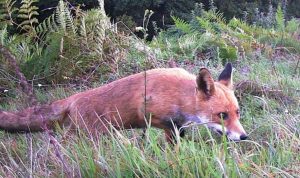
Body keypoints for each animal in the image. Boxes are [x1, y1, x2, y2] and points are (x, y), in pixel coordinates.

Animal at [0, 63, 246, 141]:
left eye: (237, 112)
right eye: (222, 115)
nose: (244, 137)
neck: (179, 95)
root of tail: (74, 98)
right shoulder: (153, 116)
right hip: (90, 135)